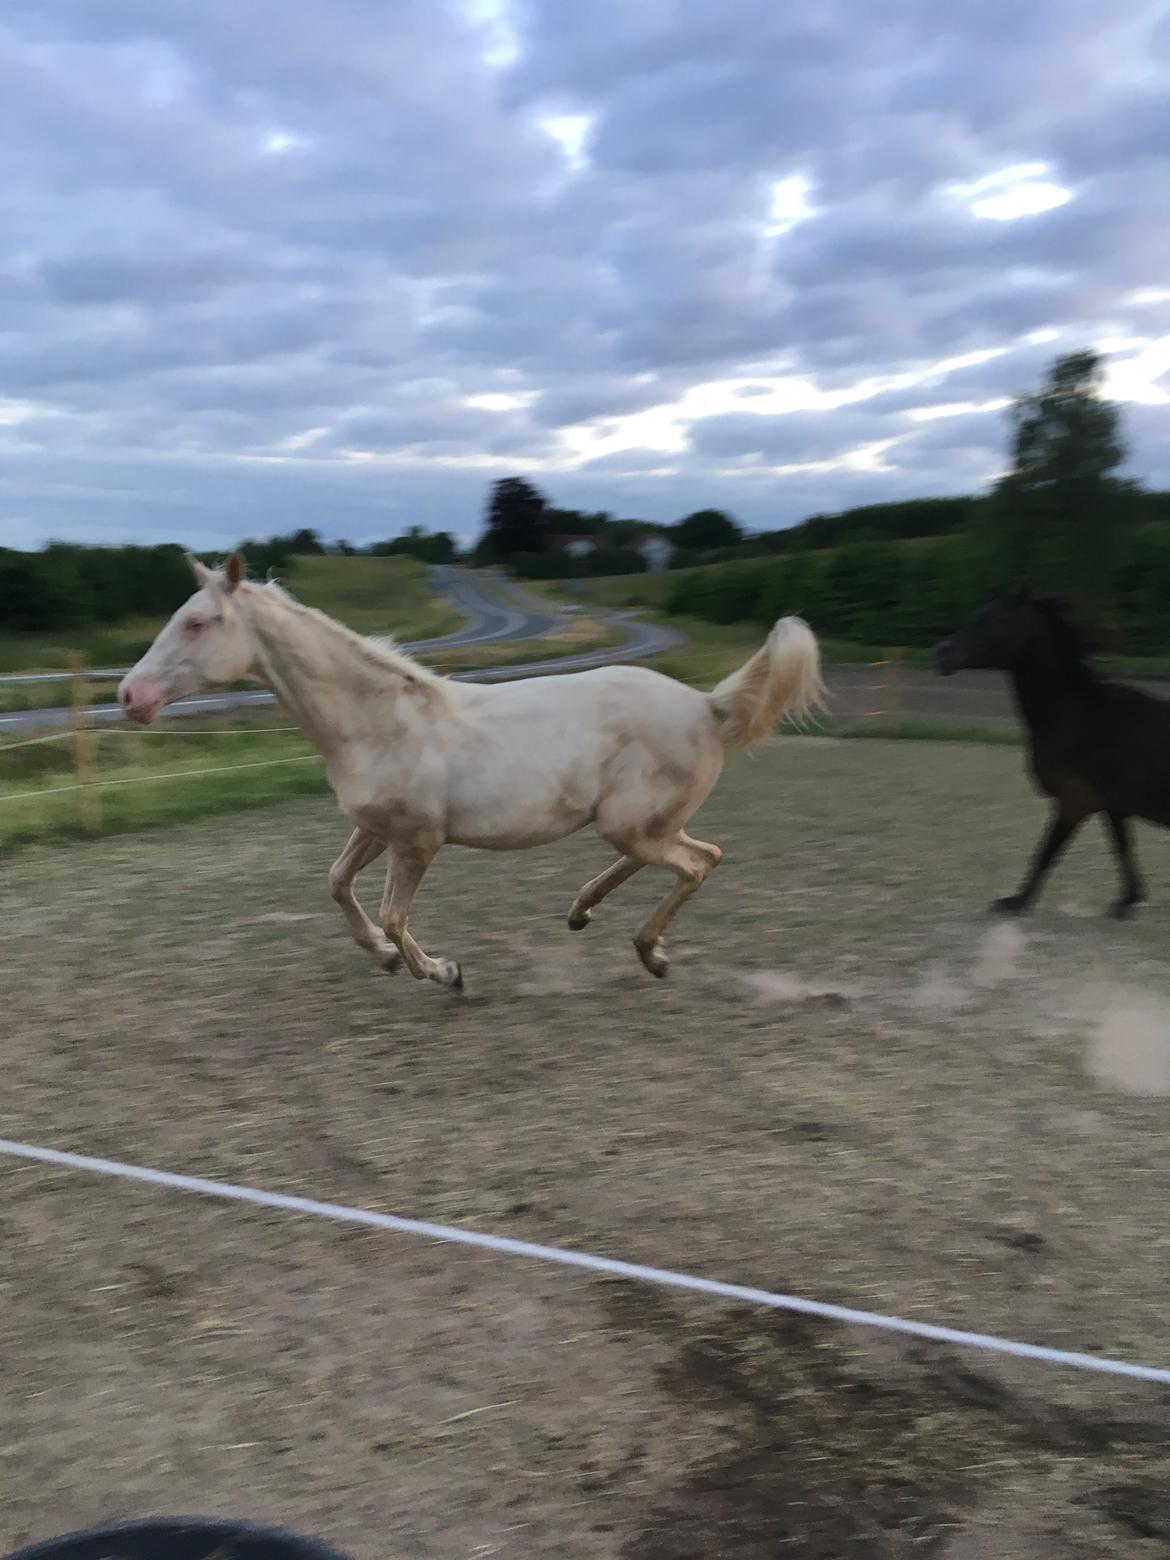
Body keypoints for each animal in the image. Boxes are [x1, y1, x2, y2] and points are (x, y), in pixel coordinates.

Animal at [119, 552, 823, 985]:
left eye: (197, 622)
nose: (129, 696)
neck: (379, 720)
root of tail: (707, 705)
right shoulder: (376, 828)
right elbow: (337, 883)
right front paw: (382, 956)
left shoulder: (418, 840)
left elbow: (396, 915)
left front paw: (443, 973)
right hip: (633, 824)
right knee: (690, 855)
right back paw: (583, 912)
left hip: (631, 823)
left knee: (697, 862)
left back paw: (649, 954)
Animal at [942, 589, 1170, 917]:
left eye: (999, 618)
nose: (943, 653)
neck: (1073, 714)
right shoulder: (1110, 803)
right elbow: (1123, 847)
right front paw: (1128, 900)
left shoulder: (1074, 801)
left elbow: (1046, 852)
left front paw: (1017, 902)